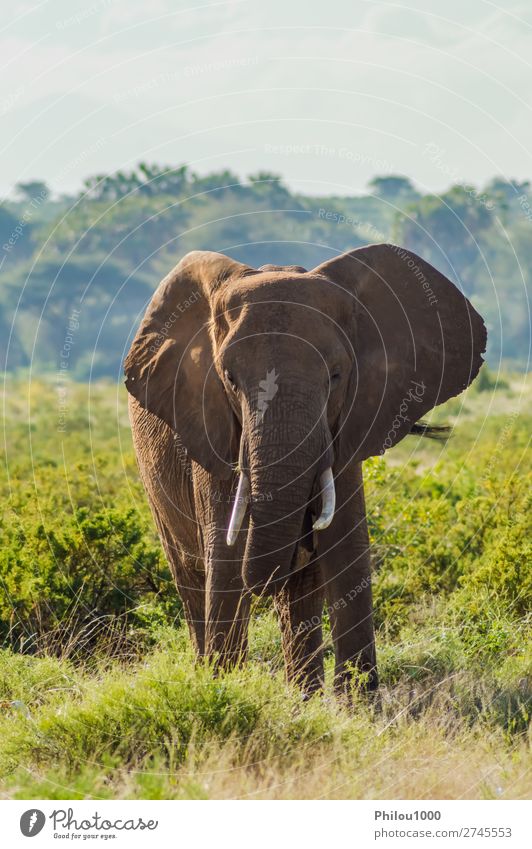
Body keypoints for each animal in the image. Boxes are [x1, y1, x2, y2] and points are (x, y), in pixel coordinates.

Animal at [123, 245, 486, 696]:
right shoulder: (211, 428)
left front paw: (357, 706)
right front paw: (223, 690)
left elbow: (348, 554)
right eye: (229, 378)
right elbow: (224, 557)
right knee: (192, 578)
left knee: (301, 590)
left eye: (336, 375)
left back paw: (303, 696)